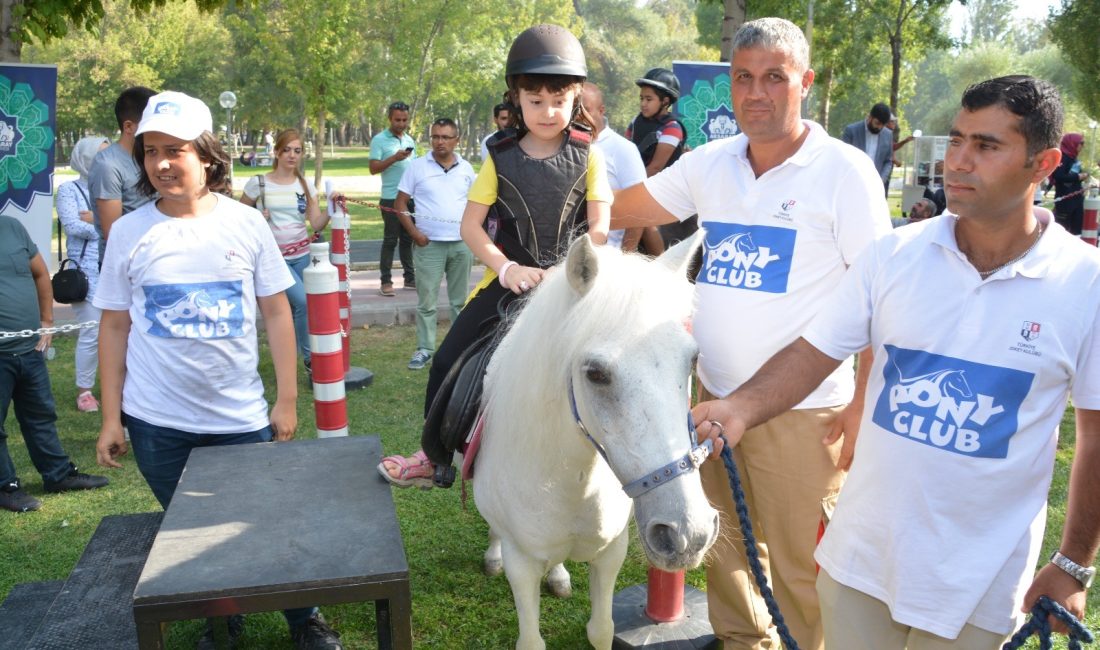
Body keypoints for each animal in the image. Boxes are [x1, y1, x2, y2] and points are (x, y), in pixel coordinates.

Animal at [473, 234, 721, 650]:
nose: (689, 534)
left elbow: (601, 629)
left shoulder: (610, 553)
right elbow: (531, 639)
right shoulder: (521, 563)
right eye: (596, 373)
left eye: (692, 360)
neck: (571, 480)